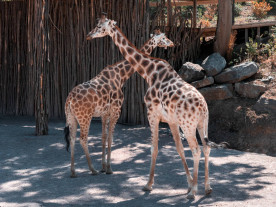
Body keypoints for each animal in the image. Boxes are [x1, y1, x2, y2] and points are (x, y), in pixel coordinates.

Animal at [63, 27, 174, 178]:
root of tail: (69, 100)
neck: (121, 76)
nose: (172, 43)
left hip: (71, 117)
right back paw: (92, 169)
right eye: (164, 38)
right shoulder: (116, 110)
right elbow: (110, 138)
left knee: (72, 138)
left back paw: (73, 171)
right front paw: (109, 168)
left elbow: (104, 137)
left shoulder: (104, 113)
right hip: (85, 117)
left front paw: (103, 166)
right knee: (83, 139)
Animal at [86, 16, 213, 199]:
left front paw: (148, 185)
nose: (89, 35)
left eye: (99, 26)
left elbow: (154, 148)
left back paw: (194, 192)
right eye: (164, 37)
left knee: (196, 150)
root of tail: (203, 107)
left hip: (188, 125)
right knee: (206, 147)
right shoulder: (171, 120)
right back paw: (207, 188)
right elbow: (179, 149)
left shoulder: (152, 114)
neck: (148, 72)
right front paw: (188, 184)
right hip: (203, 123)